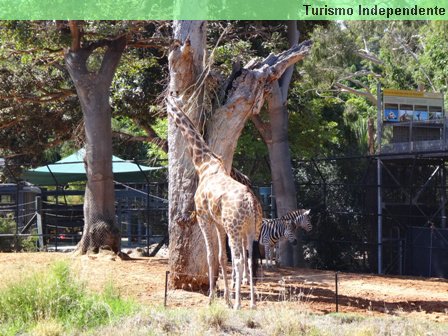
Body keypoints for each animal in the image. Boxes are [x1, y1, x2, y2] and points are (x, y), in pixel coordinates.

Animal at [166, 97, 260, 310]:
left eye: (169, 106)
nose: (166, 111)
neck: (204, 165)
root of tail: (251, 203)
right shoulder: (219, 223)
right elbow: (221, 258)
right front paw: (225, 299)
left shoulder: (203, 217)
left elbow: (210, 257)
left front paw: (212, 298)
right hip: (250, 229)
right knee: (249, 259)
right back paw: (251, 303)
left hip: (235, 228)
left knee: (239, 260)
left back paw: (239, 304)